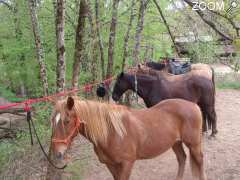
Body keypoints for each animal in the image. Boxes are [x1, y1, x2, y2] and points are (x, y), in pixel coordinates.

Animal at [51, 97, 206, 180]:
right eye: (52, 120)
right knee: (182, 158)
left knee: (199, 160)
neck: (112, 133)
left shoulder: (127, 164)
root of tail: (194, 105)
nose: (57, 153)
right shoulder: (110, 165)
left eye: (66, 121)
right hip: (176, 142)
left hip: (194, 144)